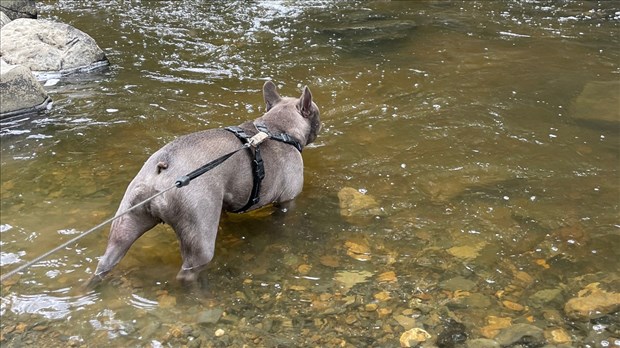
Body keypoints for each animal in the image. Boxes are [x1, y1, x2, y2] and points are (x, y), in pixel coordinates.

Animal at [87, 81, 320, 286]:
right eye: (316, 113)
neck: (276, 128)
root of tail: (163, 168)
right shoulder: (287, 201)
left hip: (127, 221)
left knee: (107, 259)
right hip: (199, 232)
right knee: (189, 271)